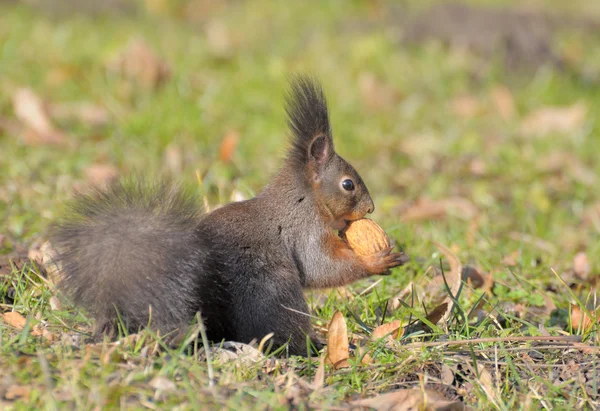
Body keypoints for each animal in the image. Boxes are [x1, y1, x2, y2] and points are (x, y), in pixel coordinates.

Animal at [50, 75, 408, 358]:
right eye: (348, 184)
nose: (370, 208)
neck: (303, 196)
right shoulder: (303, 228)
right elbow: (321, 266)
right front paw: (377, 260)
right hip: (275, 291)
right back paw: (314, 347)